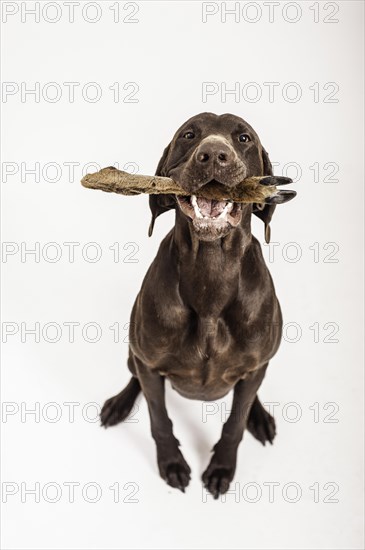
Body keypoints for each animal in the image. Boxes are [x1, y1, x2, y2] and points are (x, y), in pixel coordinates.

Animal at [101, 112, 294, 500]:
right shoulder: (150, 363)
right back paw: (118, 404)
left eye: (244, 138)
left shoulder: (255, 365)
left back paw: (260, 417)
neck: (211, 274)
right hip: (134, 354)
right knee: (133, 376)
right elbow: (159, 417)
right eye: (189, 135)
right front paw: (172, 463)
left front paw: (221, 467)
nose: (214, 155)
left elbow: (235, 422)